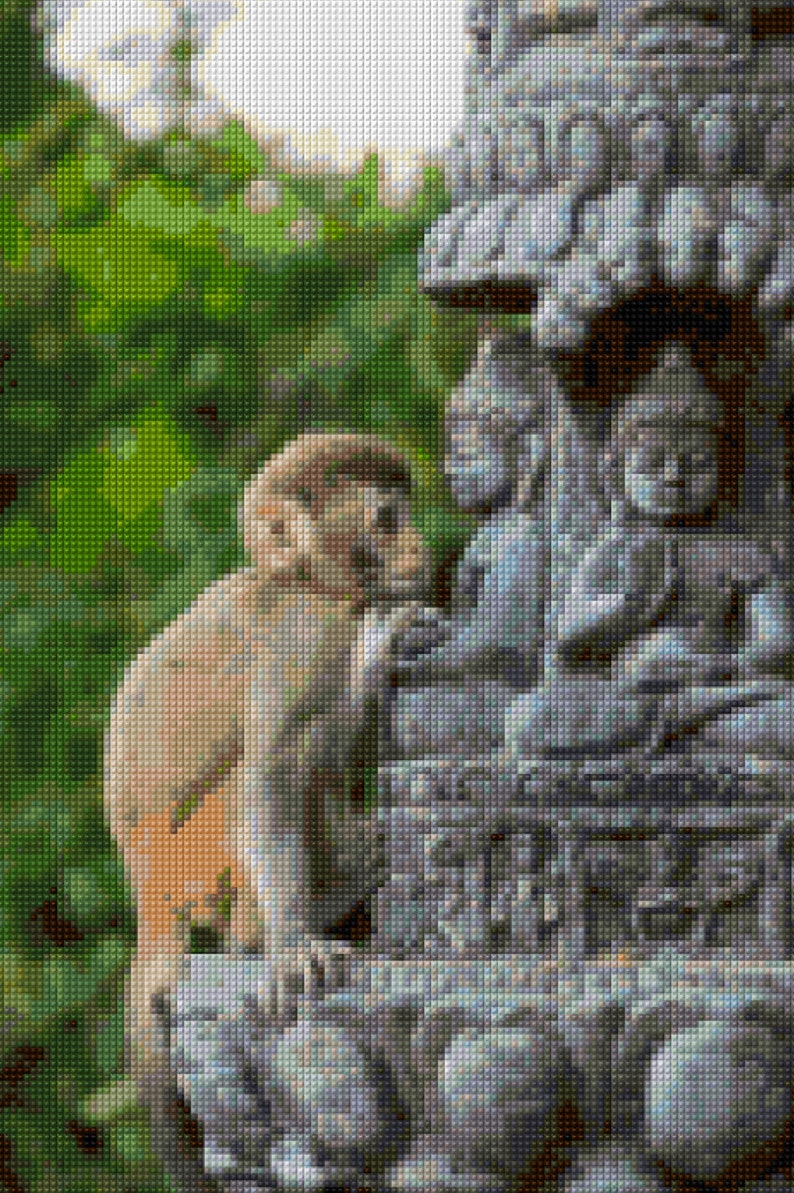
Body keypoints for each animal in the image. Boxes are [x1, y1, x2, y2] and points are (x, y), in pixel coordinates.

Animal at [104, 433, 431, 1181]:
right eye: (386, 519)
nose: (419, 546)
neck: (301, 580)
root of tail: (146, 891)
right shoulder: (303, 630)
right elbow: (272, 773)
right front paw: (289, 945)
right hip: (200, 860)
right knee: (275, 770)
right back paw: (285, 922)